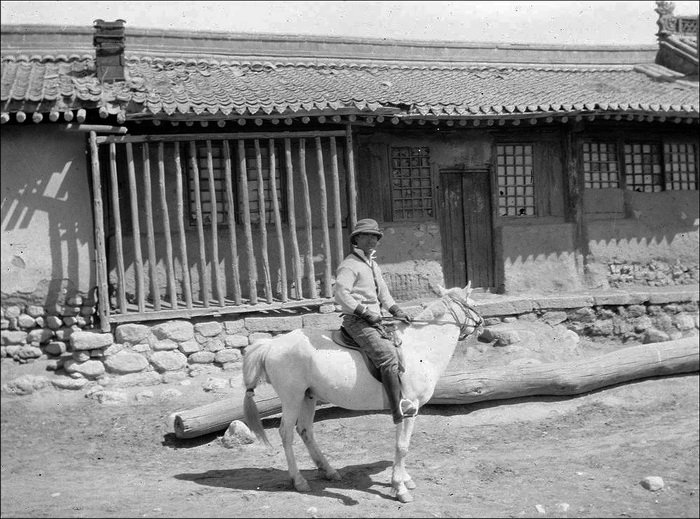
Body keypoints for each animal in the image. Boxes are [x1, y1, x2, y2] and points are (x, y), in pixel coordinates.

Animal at [241, 284, 482, 504]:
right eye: (474, 304)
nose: (483, 325)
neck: (420, 348)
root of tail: (271, 343)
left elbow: (403, 444)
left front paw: (404, 479)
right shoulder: (409, 407)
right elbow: (402, 446)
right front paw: (399, 487)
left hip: (308, 397)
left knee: (305, 430)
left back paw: (329, 471)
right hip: (292, 398)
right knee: (286, 433)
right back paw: (299, 480)